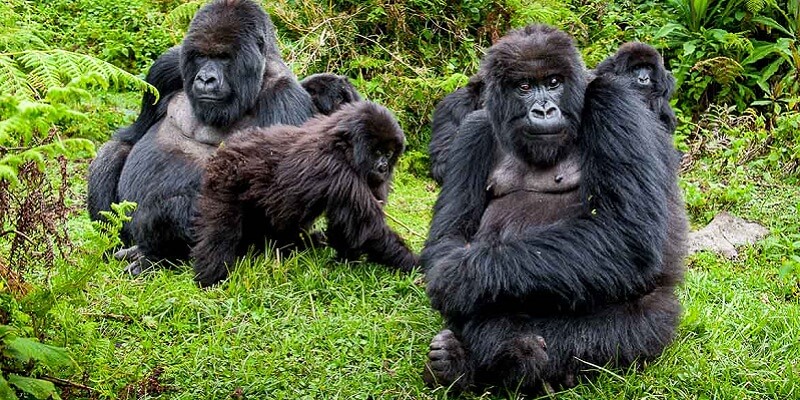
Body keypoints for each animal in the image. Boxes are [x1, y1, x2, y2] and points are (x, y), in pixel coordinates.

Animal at [93, 0, 316, 274]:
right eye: (201, 56)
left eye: (223, 57)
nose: (205, 78)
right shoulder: (167, 66)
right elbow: (130, 137)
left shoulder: (286, 100)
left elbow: (276, 205)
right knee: (113, 151)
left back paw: (156, 257)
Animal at [192, 100, 418, 288]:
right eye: (377, 152)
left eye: (388, 154)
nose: (383, 168)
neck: (341, 143)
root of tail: (224, 149)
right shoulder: (337, 170)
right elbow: (368, 228)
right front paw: (414, 264)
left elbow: (347, 226)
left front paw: (345, 259)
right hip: (225, 180)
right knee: (221, 231)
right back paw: (212, 276)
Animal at [418, 25, 688, 394]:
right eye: (524, 86)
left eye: (554, 82)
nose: (544, 110)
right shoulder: (472, 132)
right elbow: (448, 235)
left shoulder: (614, 103)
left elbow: (626, 233)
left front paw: (463, 276)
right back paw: (458, 363)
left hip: (657, 314)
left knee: (623, 330)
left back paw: (517, 358)